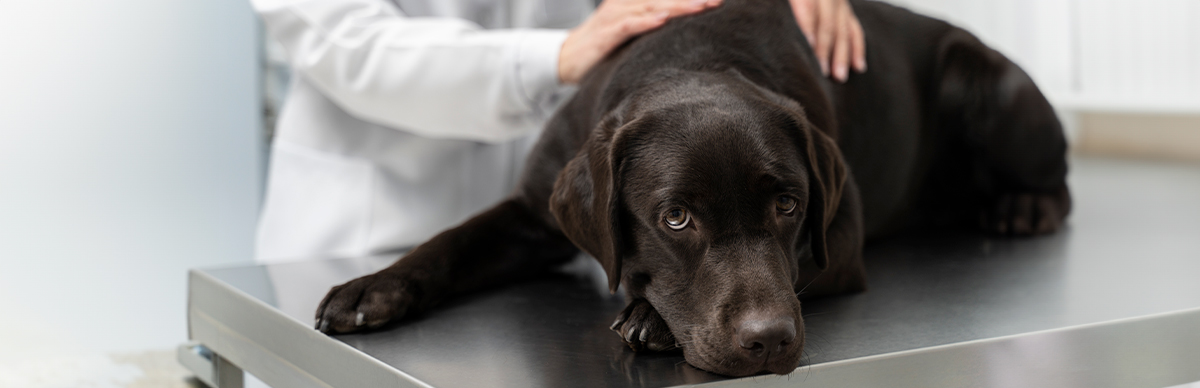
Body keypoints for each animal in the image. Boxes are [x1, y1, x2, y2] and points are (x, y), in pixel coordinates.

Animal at [309, 0, 1070, 377]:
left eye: (788, 207)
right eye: (675, 218)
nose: (768, 342)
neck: (692, 60)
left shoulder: (840, 241)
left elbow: (800, 266)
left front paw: (648, 318)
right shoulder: (533, 210)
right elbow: (452, 241)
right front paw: (372, 287)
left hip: (983, 78)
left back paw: (1021, 206)